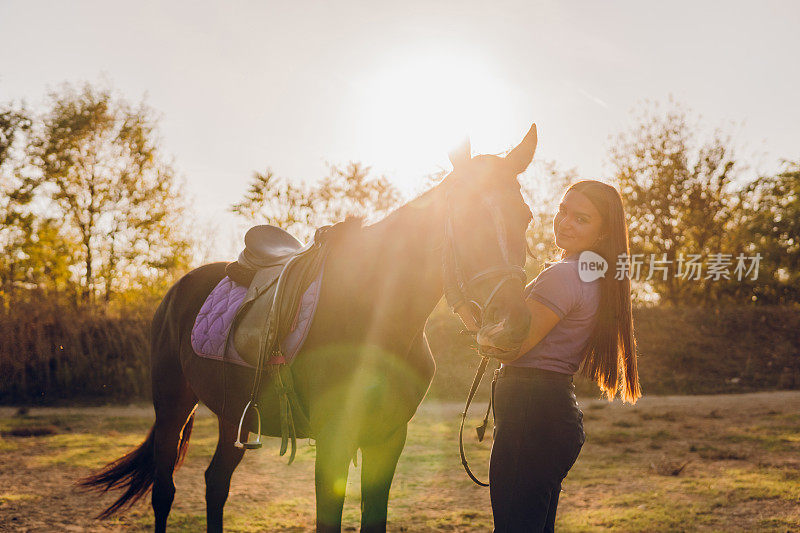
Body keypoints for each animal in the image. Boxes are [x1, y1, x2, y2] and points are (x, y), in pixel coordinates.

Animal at [79, 125, 536, 532]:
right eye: (466, 218)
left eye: (526, 217)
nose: (511, 322)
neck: (375, 314)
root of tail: (177, 290)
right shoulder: (334, 440)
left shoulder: (388, 439)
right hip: (172, 406)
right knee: (164, 492)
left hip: (233, 417)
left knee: (215, 483)